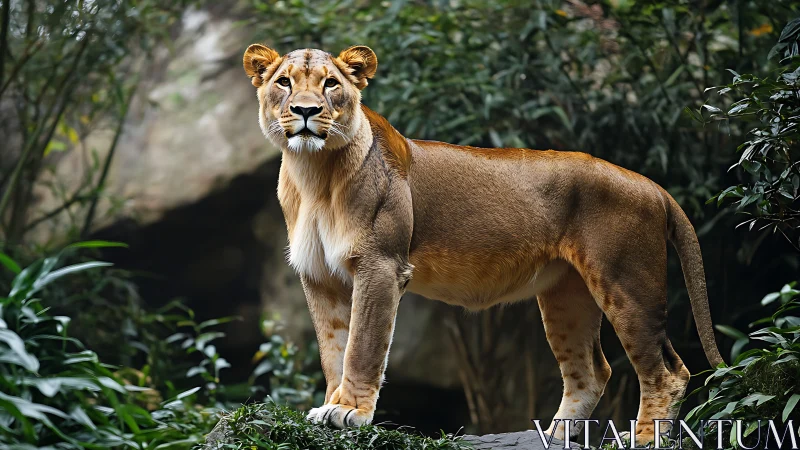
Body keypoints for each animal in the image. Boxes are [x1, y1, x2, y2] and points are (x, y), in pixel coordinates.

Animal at [242, 43, 723, 444]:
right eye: (284, 82)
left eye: (331, 84)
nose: (306, 110)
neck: (314, 174)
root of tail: (652, 186)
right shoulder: (320, 276)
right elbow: (333, 348)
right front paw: (331, 405)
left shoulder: (381, 264)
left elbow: (362, 345)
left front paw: (350, 413)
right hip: (566, 294)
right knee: (591, 370)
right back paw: (556, 434)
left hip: (626, 283)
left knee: (667, 371)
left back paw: (644, 438)